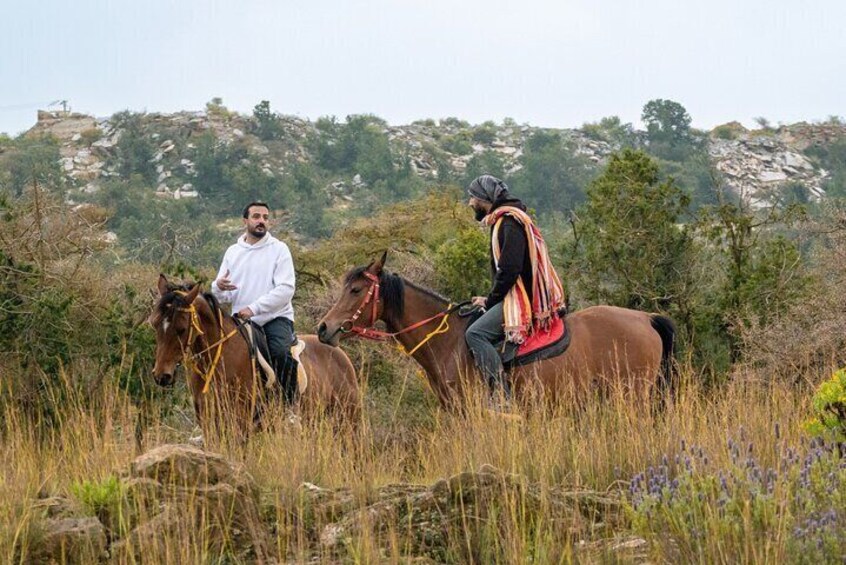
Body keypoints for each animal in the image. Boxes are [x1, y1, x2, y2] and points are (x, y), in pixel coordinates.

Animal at [152, 274, 362, 432]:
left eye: (181, 329)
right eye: (154, 324)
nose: (162, 376)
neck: (218, 360)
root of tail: (339, 353)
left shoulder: (241, 421)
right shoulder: (209, 422)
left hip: (347, 421)